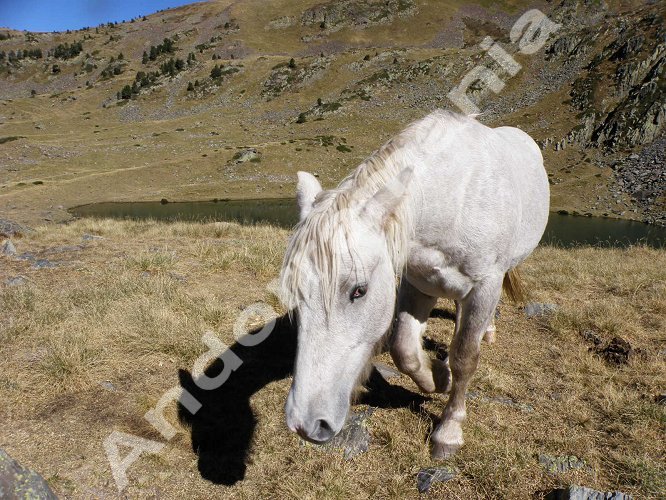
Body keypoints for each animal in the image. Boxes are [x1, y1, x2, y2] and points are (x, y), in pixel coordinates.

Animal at [279, 110, 549, 458]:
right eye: (294, 293)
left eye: (358, 291)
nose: (306, 424)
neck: (454, 202)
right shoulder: (418, 283)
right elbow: (404, 349)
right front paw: (439, 377)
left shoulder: (484, 286)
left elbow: (466, 357)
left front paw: (449, 431)